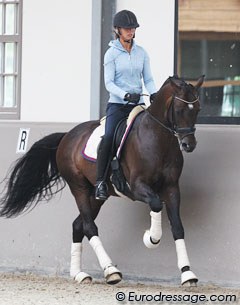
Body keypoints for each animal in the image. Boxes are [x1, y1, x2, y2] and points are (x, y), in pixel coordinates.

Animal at [0, 75, 203, 284]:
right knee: (89, 227)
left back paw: (79, 274)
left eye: (197, 109)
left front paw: (187, 273)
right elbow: (155, 204)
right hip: (79, 188)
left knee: (78, 225)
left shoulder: (171, 188)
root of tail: (67, 136)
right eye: (179, 110)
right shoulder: (137, 187)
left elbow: (178, 227)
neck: (157, 140)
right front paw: (151, 238)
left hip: (95, 196)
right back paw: (110, 270)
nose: (189, 144)